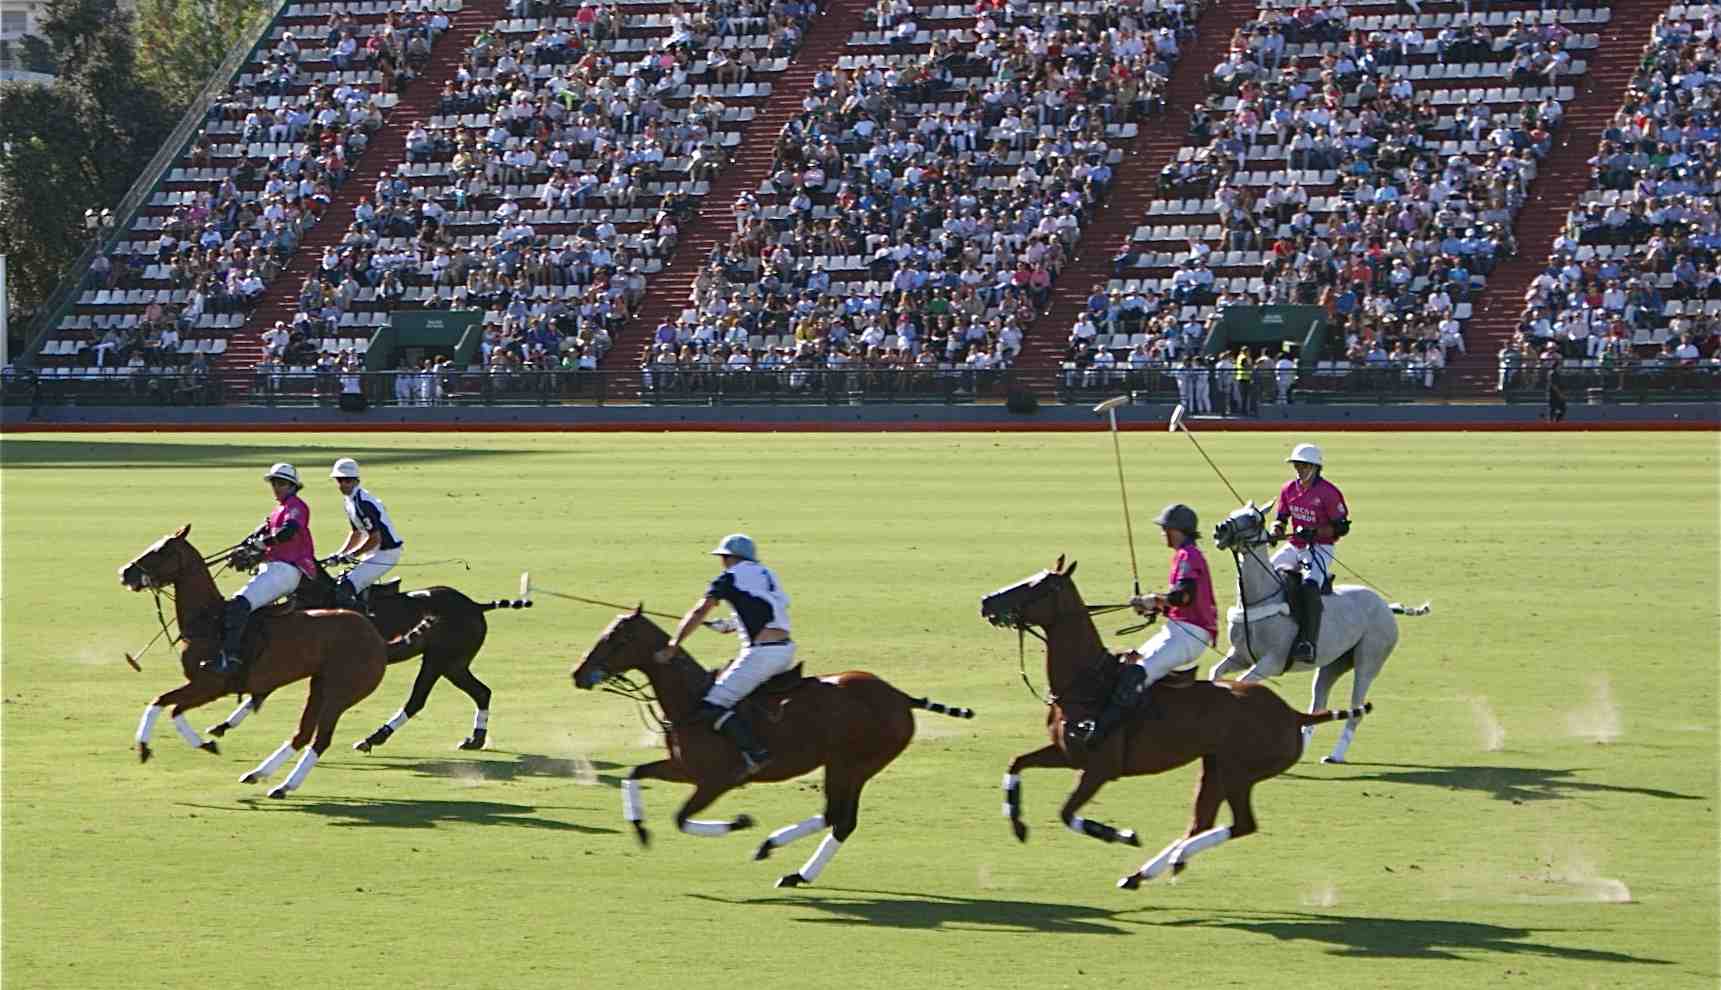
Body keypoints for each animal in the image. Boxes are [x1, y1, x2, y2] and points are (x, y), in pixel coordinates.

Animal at [118, 526, 426, 798]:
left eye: (160, 551)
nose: (125, 572)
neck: (208, 619)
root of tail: (379, 640)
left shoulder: (211, 684)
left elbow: (163, 704)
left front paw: (150, 747)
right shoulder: (204, 686)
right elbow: (169, 707)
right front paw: (203, 743)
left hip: (341, 693)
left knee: (320, 739)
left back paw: (283, 785)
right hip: (320, 686)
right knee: (302, 734)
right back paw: (262, 776)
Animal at [200, 561, 526, 754]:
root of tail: (476, 605)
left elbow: (263, 690)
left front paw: (223, 725)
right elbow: (261, 692)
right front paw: (222, 726)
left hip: (439, 660)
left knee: (417, 700)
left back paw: (373, 738)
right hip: (455, 664)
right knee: (482, 692)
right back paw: (475, 740)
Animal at [571, 612, 977, 888]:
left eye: (615, 640)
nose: (578, 674)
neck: (692, 702)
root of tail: (900, 696)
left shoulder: (717, 781)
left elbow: (681, 818)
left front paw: (740, 822)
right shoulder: (684, 768)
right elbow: (634, 773)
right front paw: (639, 828)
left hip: (853, 764)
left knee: (841, 819)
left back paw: (786, 862)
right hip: (843, 765)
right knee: (835, 817)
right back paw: (784, 860)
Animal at [984, 557, 1369, 888]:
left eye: (1039, 586)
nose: (986, 601)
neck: (1086, 681)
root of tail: (1293, 714)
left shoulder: (1099, 768)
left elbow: (1066, 812)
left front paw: (1121, 835)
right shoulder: (1066, 753)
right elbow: (1016, 762)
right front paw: (1017, 823)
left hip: (1239, 772)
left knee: (1241, 824)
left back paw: (1174, 858)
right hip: (1214, 767)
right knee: (1201, 821)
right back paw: (1145, 872)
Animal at [1204, 502, 1431, 767]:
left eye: (1252, 518)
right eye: (1234, 512)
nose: (1220, 529)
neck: (1260, 597)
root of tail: (1387, 606)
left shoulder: (1272, 661)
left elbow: (1241, 683)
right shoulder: (1240, 656)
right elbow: (1215, 673)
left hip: (1368, 661)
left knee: (1356, 708)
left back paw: (1336, 755)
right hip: (1332, 665)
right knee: (1318, 705)